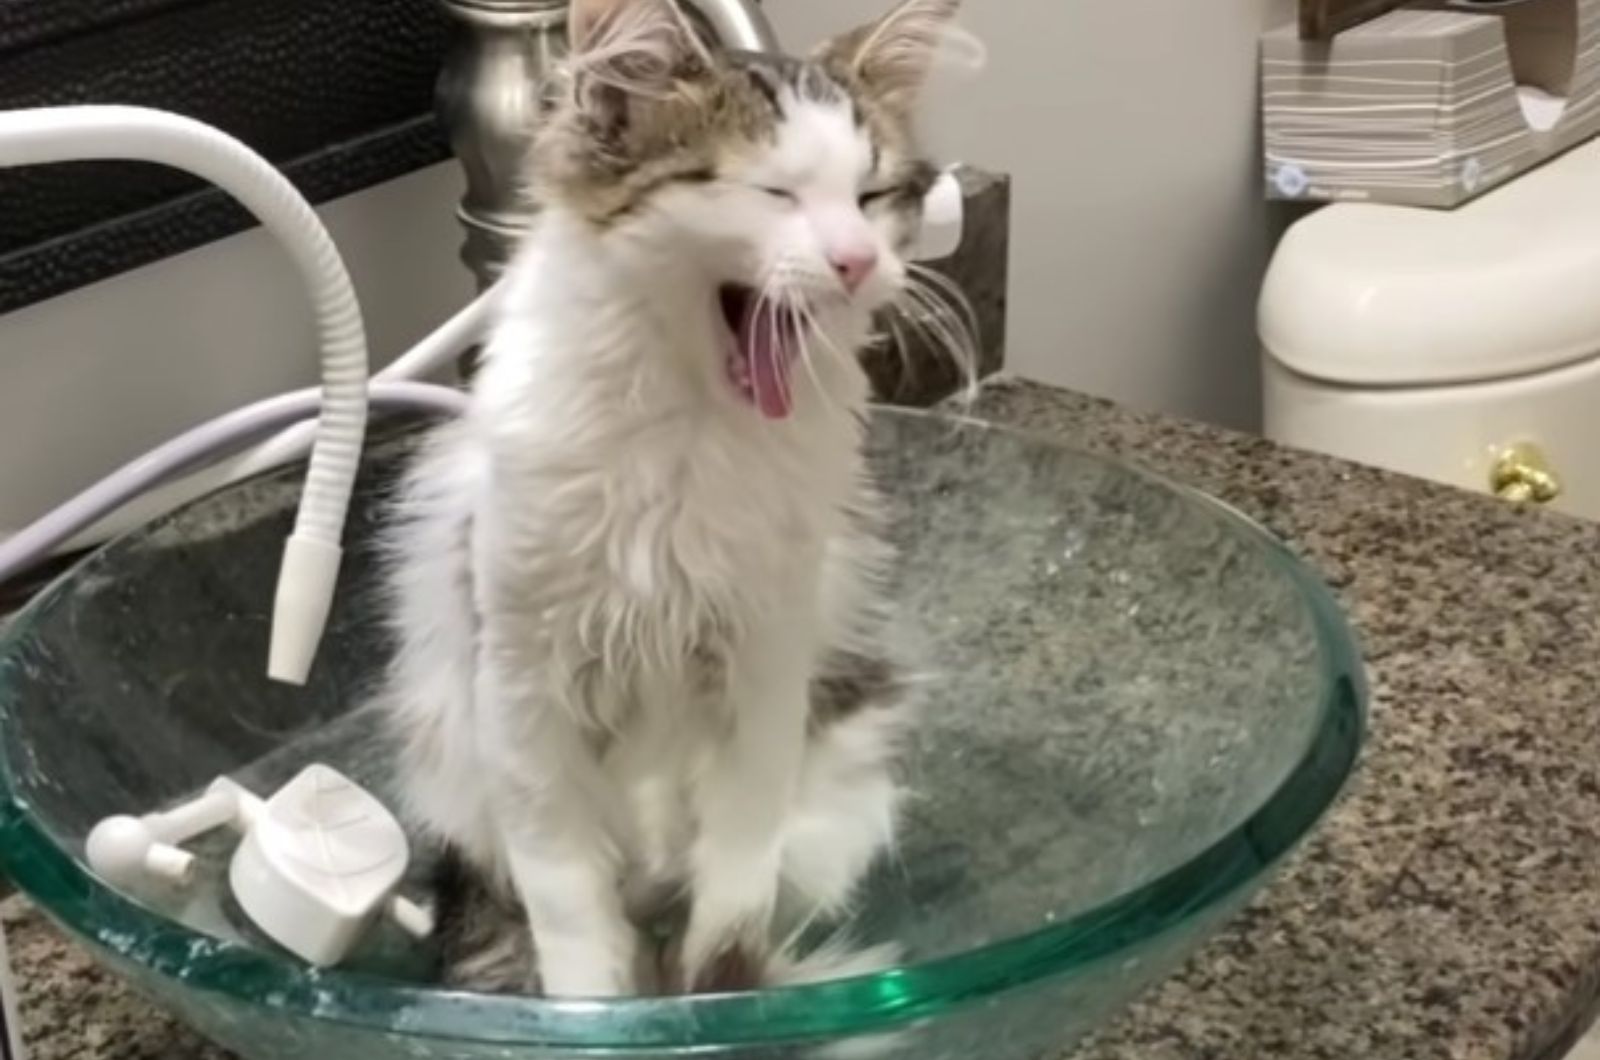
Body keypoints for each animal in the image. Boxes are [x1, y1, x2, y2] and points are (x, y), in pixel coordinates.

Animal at [384, 0, 972, 1005]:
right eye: (773, 192)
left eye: (871, 196)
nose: (858, 263)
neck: (691, 431)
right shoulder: (523, 686)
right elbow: (571, 917)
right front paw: (595, 1013)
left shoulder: (766, 669)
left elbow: (729, 904)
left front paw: (713, 1005)